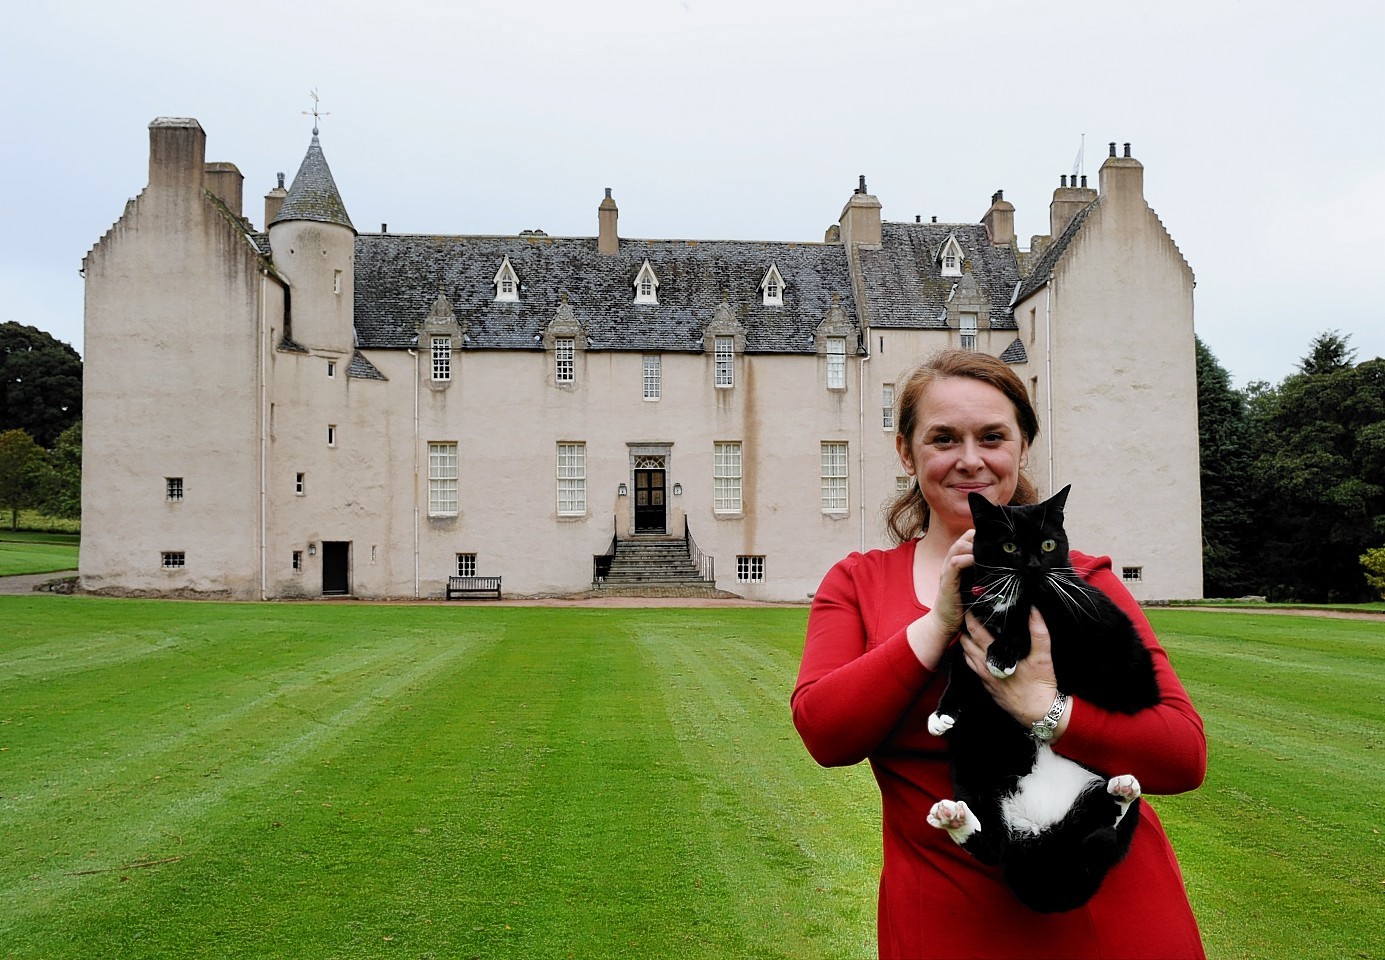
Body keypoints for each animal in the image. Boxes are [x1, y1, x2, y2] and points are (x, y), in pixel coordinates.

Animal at [925, 487, 1163, 914]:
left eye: (1049, 544)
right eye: (1009, 546)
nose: (1034, 567)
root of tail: (1039, 830)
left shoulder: (1071, 612)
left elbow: (1036, 612)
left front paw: (1004, 651)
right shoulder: (969, 627)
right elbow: (958, 666)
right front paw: (942, 713)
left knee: (1105, 830)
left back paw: (1121, 791)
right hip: (974, 766)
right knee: (993, 846)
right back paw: (955, 818)